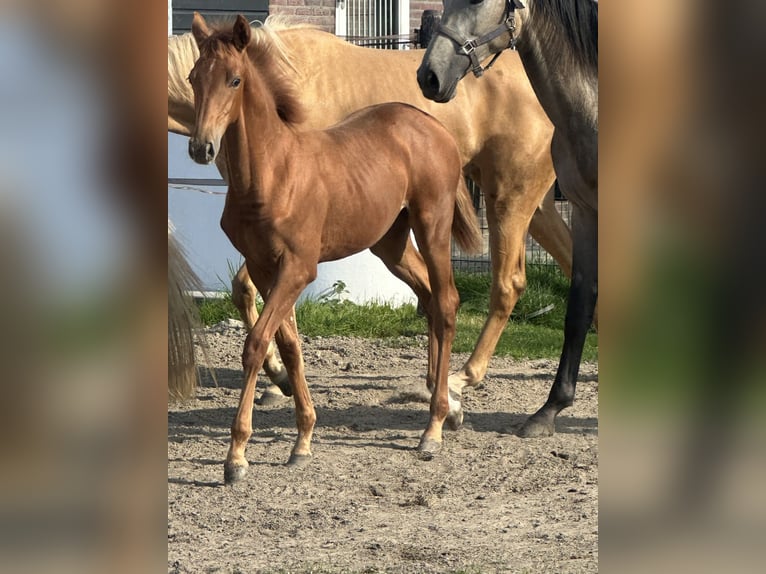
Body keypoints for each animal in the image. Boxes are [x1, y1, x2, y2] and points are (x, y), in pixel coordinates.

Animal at [170, 19, 576, 404]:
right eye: (193, 78)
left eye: (234, 81)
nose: (200, 148)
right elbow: (247, 293)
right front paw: (280, 376)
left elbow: (263, 300)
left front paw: (278, 378)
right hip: (529, 206)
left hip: (508, 199)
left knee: (506, 284)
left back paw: (463, 377)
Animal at [188, 12, 484, 482]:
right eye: (194, 78)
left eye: (234, 80)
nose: (201, 147)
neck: (271, 175)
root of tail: (433, 125)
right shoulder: (264, 266)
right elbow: (290, 346)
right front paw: (303, 439)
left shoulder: (297, 268)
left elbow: (256, 344)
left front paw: (236, 456)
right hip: (390, 244)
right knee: (429, 299)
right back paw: (449, 409)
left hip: (432, 225)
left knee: (447, 302)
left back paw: (433, 428)